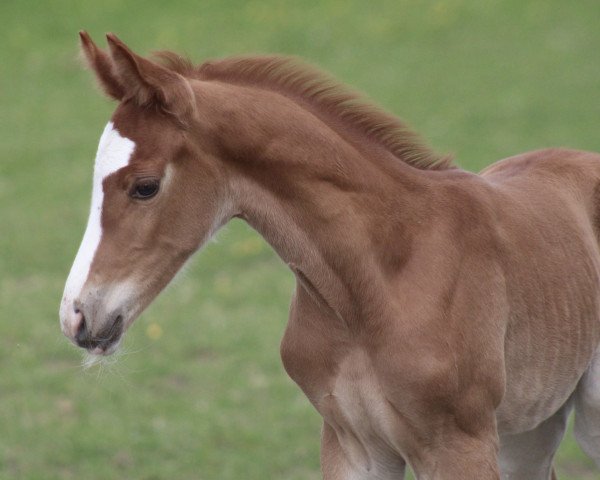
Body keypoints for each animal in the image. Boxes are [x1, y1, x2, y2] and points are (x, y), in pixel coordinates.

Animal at [59, 31, 600, 478]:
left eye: (145, 186)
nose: (76, 316)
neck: (380, 279)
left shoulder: (459, 446)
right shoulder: (352, 444)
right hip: (530, 425)